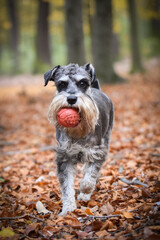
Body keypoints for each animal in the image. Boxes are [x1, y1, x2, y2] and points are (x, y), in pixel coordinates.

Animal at [43, 62, 114, 215]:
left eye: (83, 83)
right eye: (61, 84)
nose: (71, 99)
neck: (79, 130)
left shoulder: (97, 152)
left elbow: (90, 176)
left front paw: (84, 190)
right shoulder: (65, 157)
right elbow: (67, 186)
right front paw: (68, 209)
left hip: (106, 137)